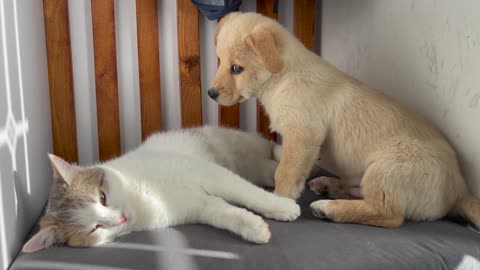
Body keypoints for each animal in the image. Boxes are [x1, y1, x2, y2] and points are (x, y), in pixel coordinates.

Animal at [23, 125, 300, 252]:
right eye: (95, 228)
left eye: (102, 197)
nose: (120, 218)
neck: (142, 196)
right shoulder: (198, 207)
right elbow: (227, 214)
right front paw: (254, 227)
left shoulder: (208, 173)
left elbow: (247, 192)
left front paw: (281, 206)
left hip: (237, 145)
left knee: (270, 151)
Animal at [209, 11, 480, 229]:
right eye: (219, 61)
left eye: (237, 69)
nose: (211, 94)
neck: (283, 77)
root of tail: (460, 189)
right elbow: (282, 157)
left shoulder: (303, 136)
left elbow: (285, 172)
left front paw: (280, 200)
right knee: (358, 193)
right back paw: (327, 186)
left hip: (386, 170)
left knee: (388, 214)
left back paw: (328, 208)